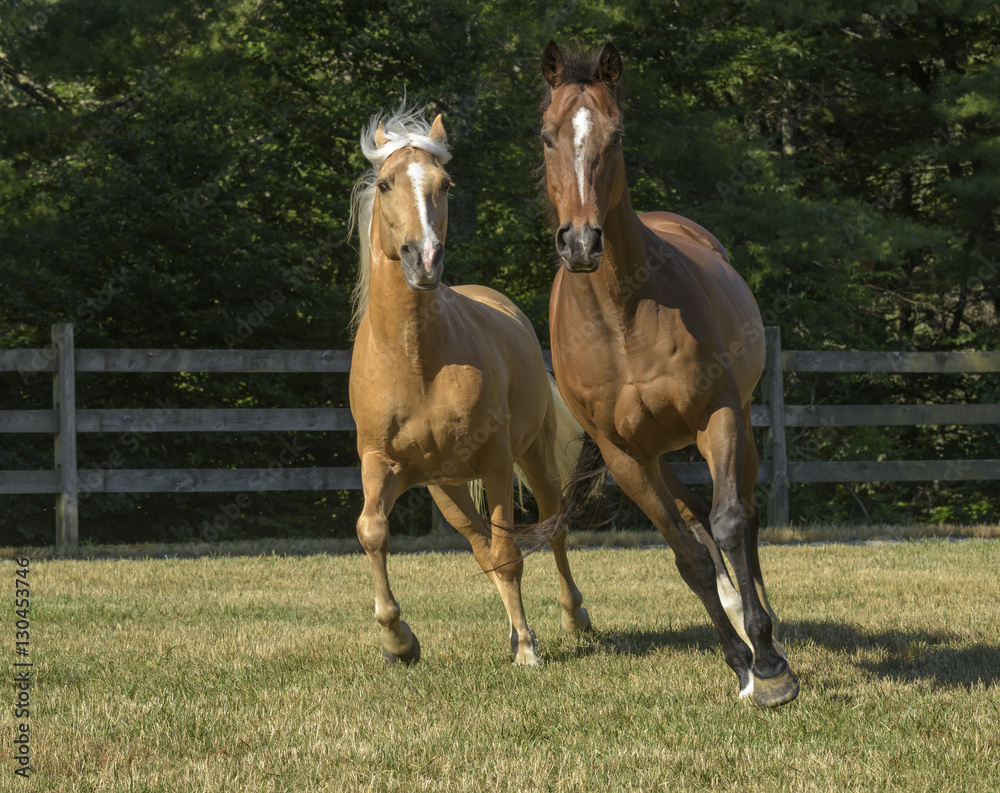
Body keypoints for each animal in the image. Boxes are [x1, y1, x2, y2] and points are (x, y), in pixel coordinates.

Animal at [348, 103, 591, 667]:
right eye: (386, 184)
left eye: (445, 184)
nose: (424, 259)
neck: (416, 362)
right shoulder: (379, 461)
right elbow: (372, 532)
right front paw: (398, 640)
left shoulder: (496, 460)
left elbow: (510, 552)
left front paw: (527, 651)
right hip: (448, 489)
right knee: (482, 546)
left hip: (533, 458)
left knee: (553, 525)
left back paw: (571, 619)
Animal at [535, 41, 799, 707]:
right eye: (547, 135)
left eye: (617, 133)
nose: (581, 242)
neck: (622, 316)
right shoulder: (624, 453)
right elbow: (689, 556)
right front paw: (740, 663)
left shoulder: (718, 416)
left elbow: (729, 525)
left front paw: (770, 667)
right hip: (656, 455)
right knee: (695, 519)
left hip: (739, 428)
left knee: (743, 518)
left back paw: (769, 631)